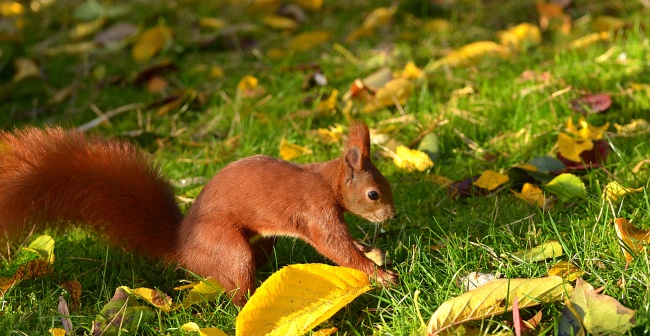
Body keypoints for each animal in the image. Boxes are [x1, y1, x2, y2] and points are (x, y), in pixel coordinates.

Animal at [0, 122, 398, 306]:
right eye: (373, 193)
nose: (392, 215)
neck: (327, 181)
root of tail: (181, 247)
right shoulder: (316, 211)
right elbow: (334, 247)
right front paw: (380, 274)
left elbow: (347, 245)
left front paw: (372, 251)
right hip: (227, 246)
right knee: (235, 287)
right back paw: (251, 300)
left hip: (259, 243)